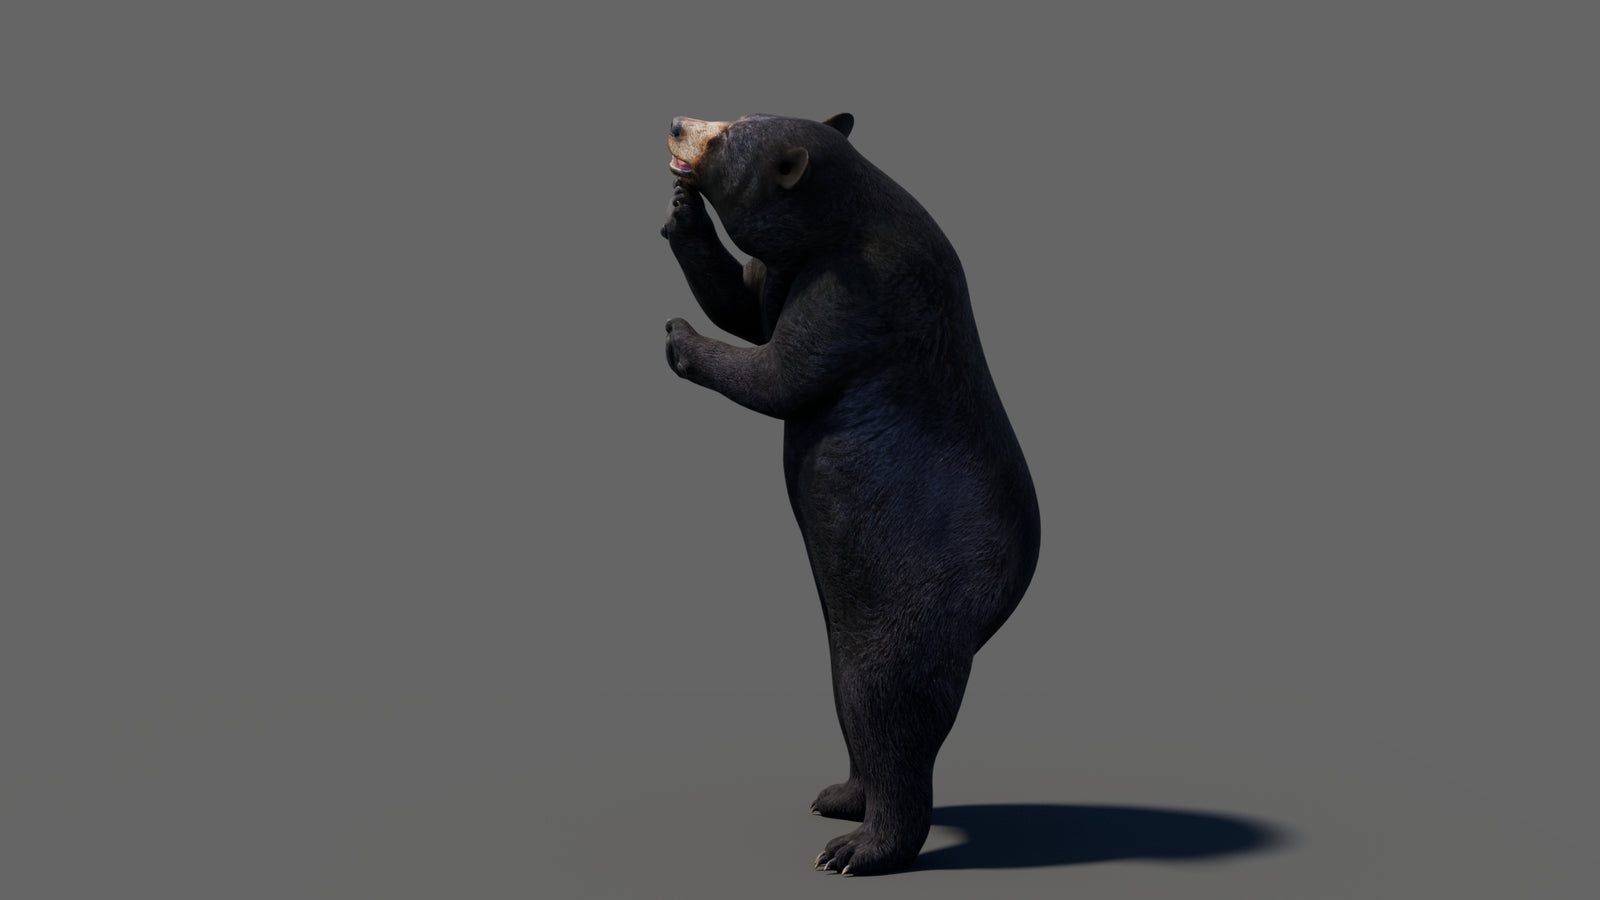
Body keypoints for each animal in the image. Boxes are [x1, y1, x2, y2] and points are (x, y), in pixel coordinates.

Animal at [660, 113, 1040, 875]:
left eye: (727, 137)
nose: (677, 123)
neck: (846, 214)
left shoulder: (856, 290)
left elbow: (779, 371)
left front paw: (680, 336)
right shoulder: (799, 266)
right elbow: (748, 301)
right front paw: (681, 212)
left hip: (914, 600)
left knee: (886, 703)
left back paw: (859, 848)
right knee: (850, 698)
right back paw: (839, 796)